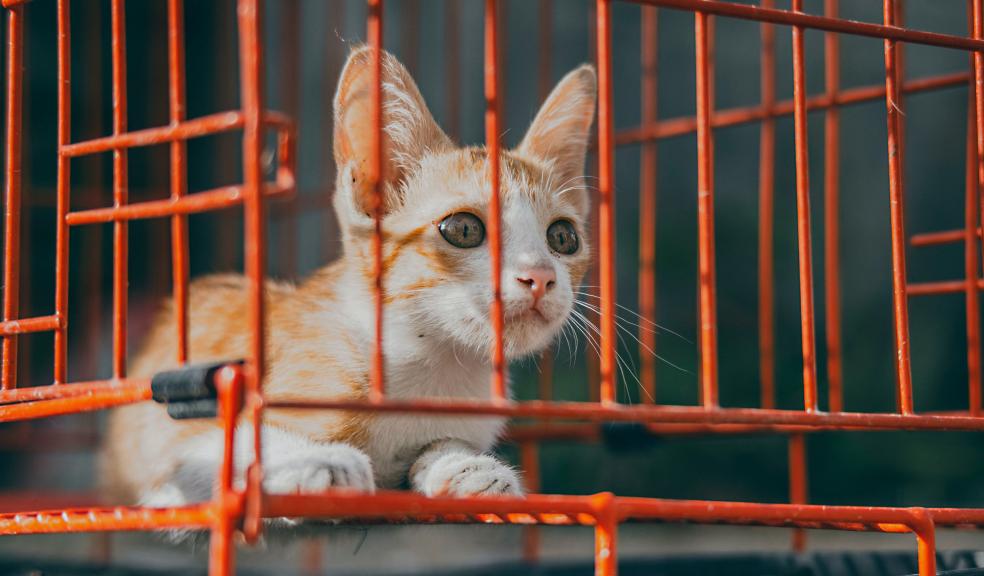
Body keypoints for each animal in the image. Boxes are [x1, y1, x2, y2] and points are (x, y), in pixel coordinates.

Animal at [100, 48, 596, 508]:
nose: (539, 276)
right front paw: (317, 458)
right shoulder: (170, 447)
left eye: (563, 237)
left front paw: (467, 465)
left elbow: (442, 444)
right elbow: (224, 444)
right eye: (463, 229)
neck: (430, 366)